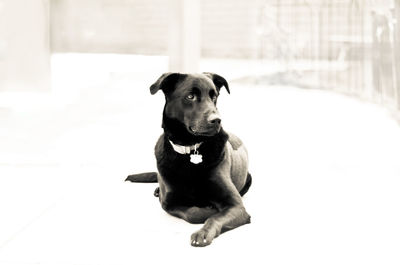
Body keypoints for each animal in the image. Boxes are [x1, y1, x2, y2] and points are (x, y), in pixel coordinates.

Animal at [128, 72, 252, 245]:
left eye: (214, 97)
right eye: (190, 96)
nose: (217, 120)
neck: (190, 150)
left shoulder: (236, 205)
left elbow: (216, 217)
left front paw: (203, 232)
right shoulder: (169, 203)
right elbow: (193, 212)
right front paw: (208, 210)